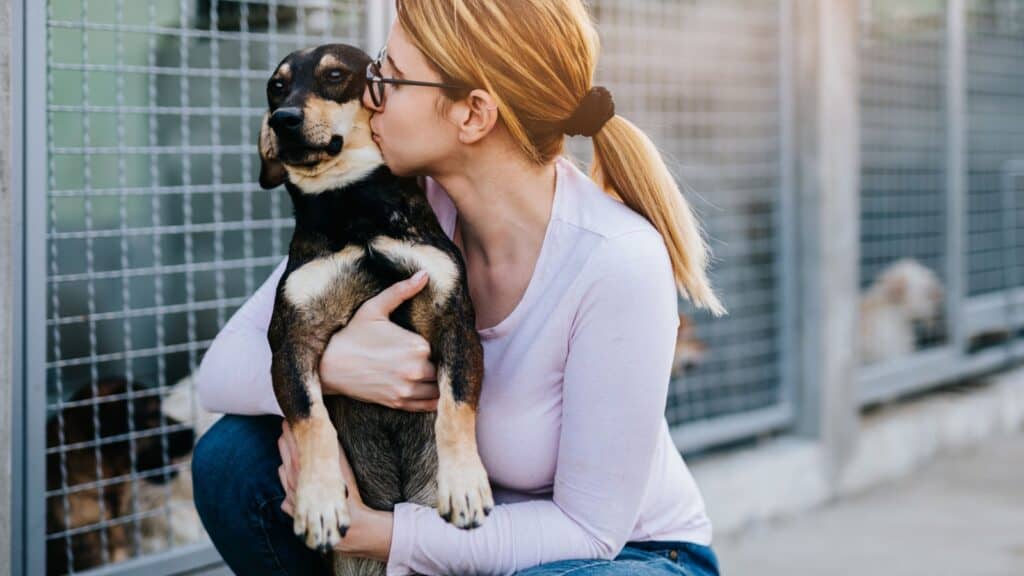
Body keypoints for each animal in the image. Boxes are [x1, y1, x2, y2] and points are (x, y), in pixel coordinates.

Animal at [258, 44, 493, 573]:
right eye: (276, 86)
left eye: (335, 75)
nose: (282, 119)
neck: (352, 209)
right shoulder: (290, 340)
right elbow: (310, 419)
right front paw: (320, 500)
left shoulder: (455, 321)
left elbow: (456, 406)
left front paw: (464, 483)